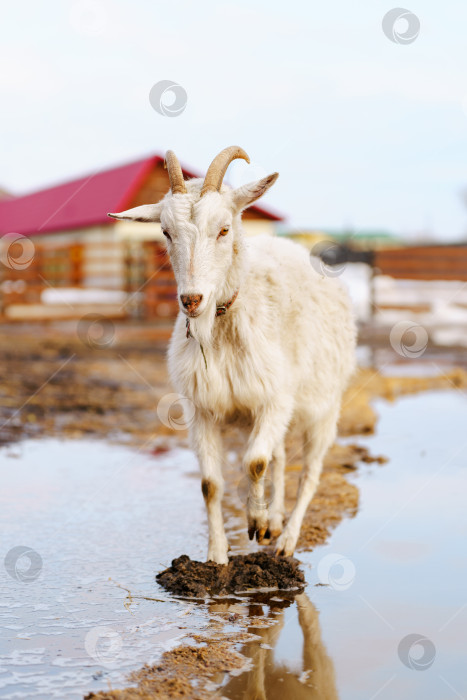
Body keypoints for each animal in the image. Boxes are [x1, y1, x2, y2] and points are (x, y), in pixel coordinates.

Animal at [109, 148, 356, 564]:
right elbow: (211, 483)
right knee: (280, 457)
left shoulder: (275, 399)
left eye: (224, 229)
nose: (191, 300)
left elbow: (254, 462)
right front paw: (218, 555)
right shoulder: (202, 409)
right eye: (166, 232)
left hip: (325, 406)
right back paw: (275, 520)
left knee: (309, 472)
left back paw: (286, 539)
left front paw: (255, 522)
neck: (223, 326)